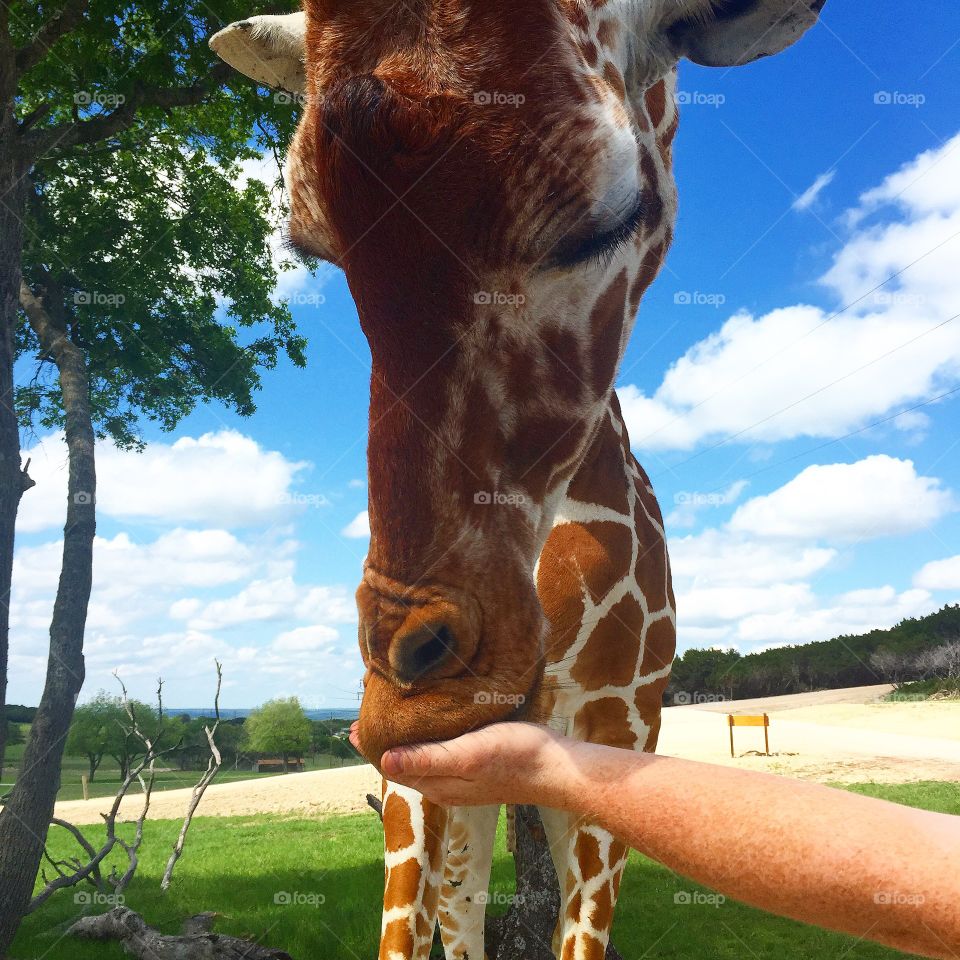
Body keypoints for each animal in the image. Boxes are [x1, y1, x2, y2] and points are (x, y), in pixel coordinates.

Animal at [210, 1, 824, 960]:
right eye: (314, 244)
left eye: (606, 218)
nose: (411, 701)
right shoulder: (417, 778)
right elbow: (414, 933)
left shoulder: (618, 729)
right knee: (451, 914)